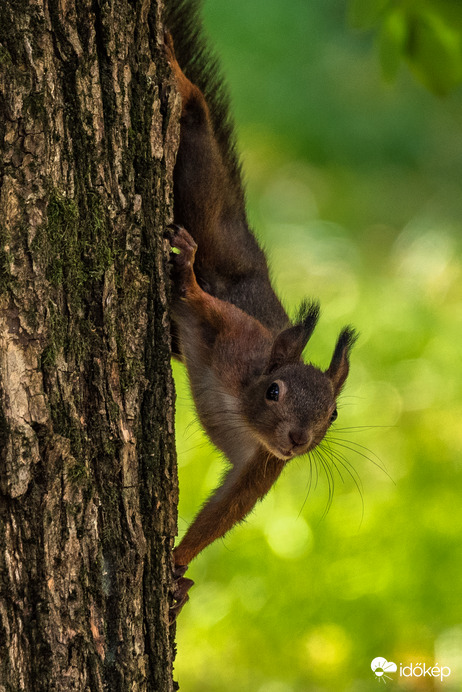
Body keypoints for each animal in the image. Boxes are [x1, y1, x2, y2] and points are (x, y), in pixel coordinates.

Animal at [164, 5, 360, 620]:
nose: (297, 441)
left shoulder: (261, 466)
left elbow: (227, 509)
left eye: (333, 416)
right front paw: (186, 276)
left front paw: (177, 567)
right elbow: (204, 305)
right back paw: (176, 76)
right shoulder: (236, 337)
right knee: (197, 120)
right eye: (274, 391)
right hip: (207, 198)